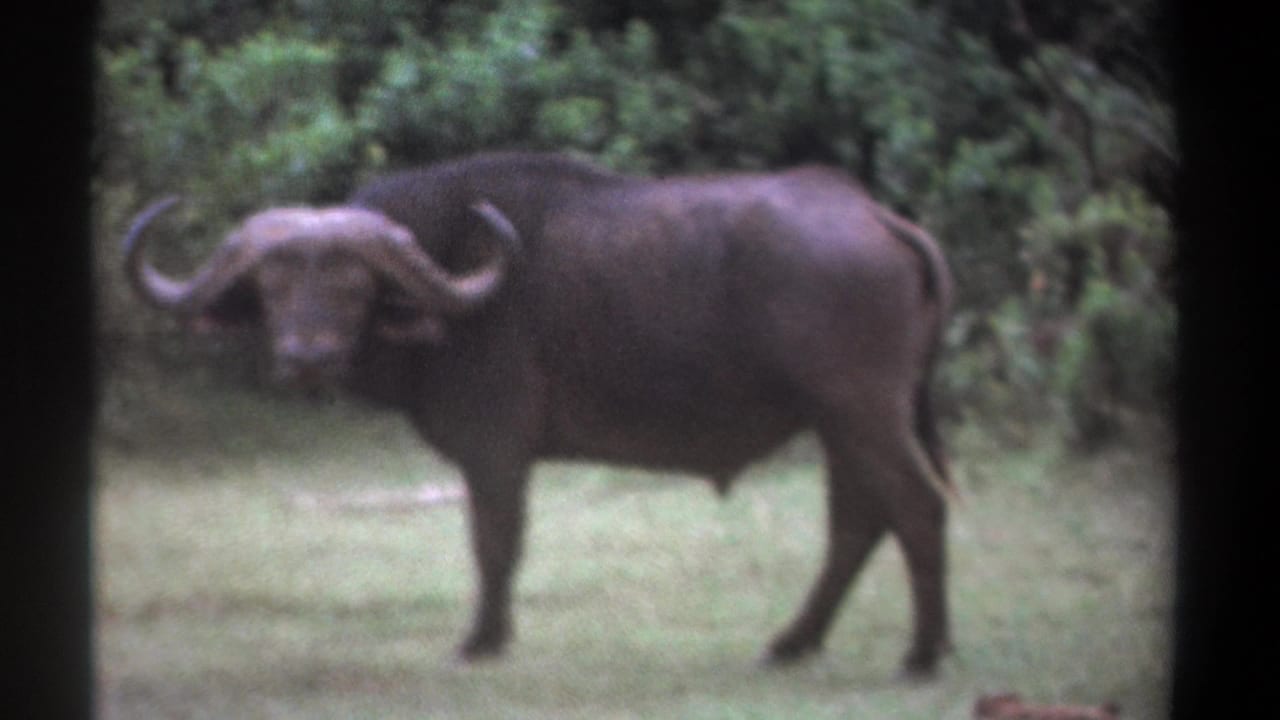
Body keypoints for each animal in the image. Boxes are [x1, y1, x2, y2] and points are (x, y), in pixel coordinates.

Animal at [123, 152, 955, 676]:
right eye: (271, 285)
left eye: (354, 284)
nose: (307, 356)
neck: (455, 290)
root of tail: (873, 215)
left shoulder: (494, 449)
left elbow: (495, 544)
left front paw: (481, 641)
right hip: (841, 424)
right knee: (857, 523)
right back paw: (792, 644)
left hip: (861, 411)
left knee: (916, 507)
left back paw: (921, 655)